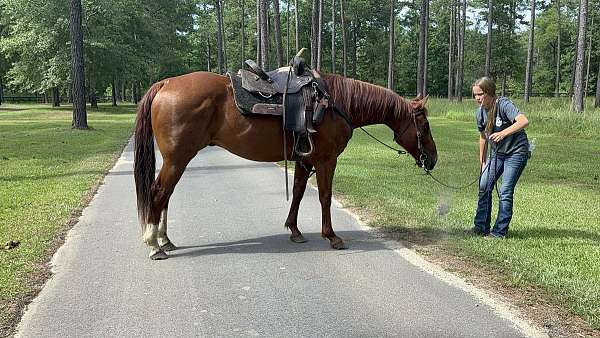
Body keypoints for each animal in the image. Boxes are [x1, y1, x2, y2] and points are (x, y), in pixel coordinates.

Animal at [135, 70, 436, 258]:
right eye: (424, 126)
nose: (432, 159)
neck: (335, 103)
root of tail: (166, 84)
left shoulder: (305, 159)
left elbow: (300, 194)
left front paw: (295, 231)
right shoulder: (326, 160)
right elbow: (325, 197)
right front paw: (332, 236)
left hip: (177, 160)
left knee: (165, 196)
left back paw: (165, 240)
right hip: (177, 159)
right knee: (158, 193)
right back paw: (153, 245)